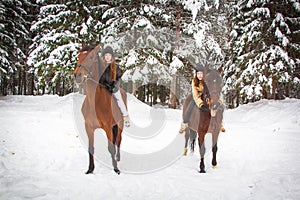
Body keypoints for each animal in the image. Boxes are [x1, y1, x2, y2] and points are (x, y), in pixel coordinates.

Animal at [75, 44, 127, 174]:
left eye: (91, 57)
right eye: (78, 56)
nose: (77, 76)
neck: (95, 102)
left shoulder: (108, 127)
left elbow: (111, 147)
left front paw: (116, 169)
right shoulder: (88, 127)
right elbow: (91, 148)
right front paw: (90, 169)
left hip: (120, 124)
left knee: (118, 140)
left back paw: (117, 158)